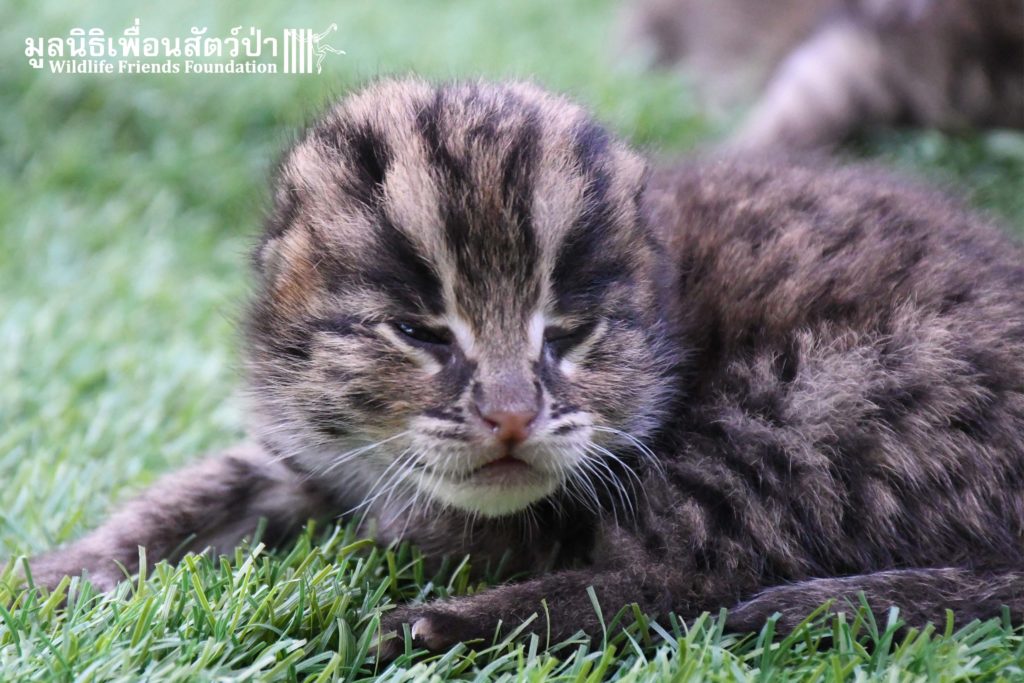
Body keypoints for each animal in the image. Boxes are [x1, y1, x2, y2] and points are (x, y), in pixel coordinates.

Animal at [22, 77, 1024, 655]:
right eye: (420, 332)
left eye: (570, 333)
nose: (510, 414)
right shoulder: (316, 444)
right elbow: (221, 477)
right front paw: (68, 569)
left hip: (814, 402)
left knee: (694, 580)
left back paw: (440, 623)